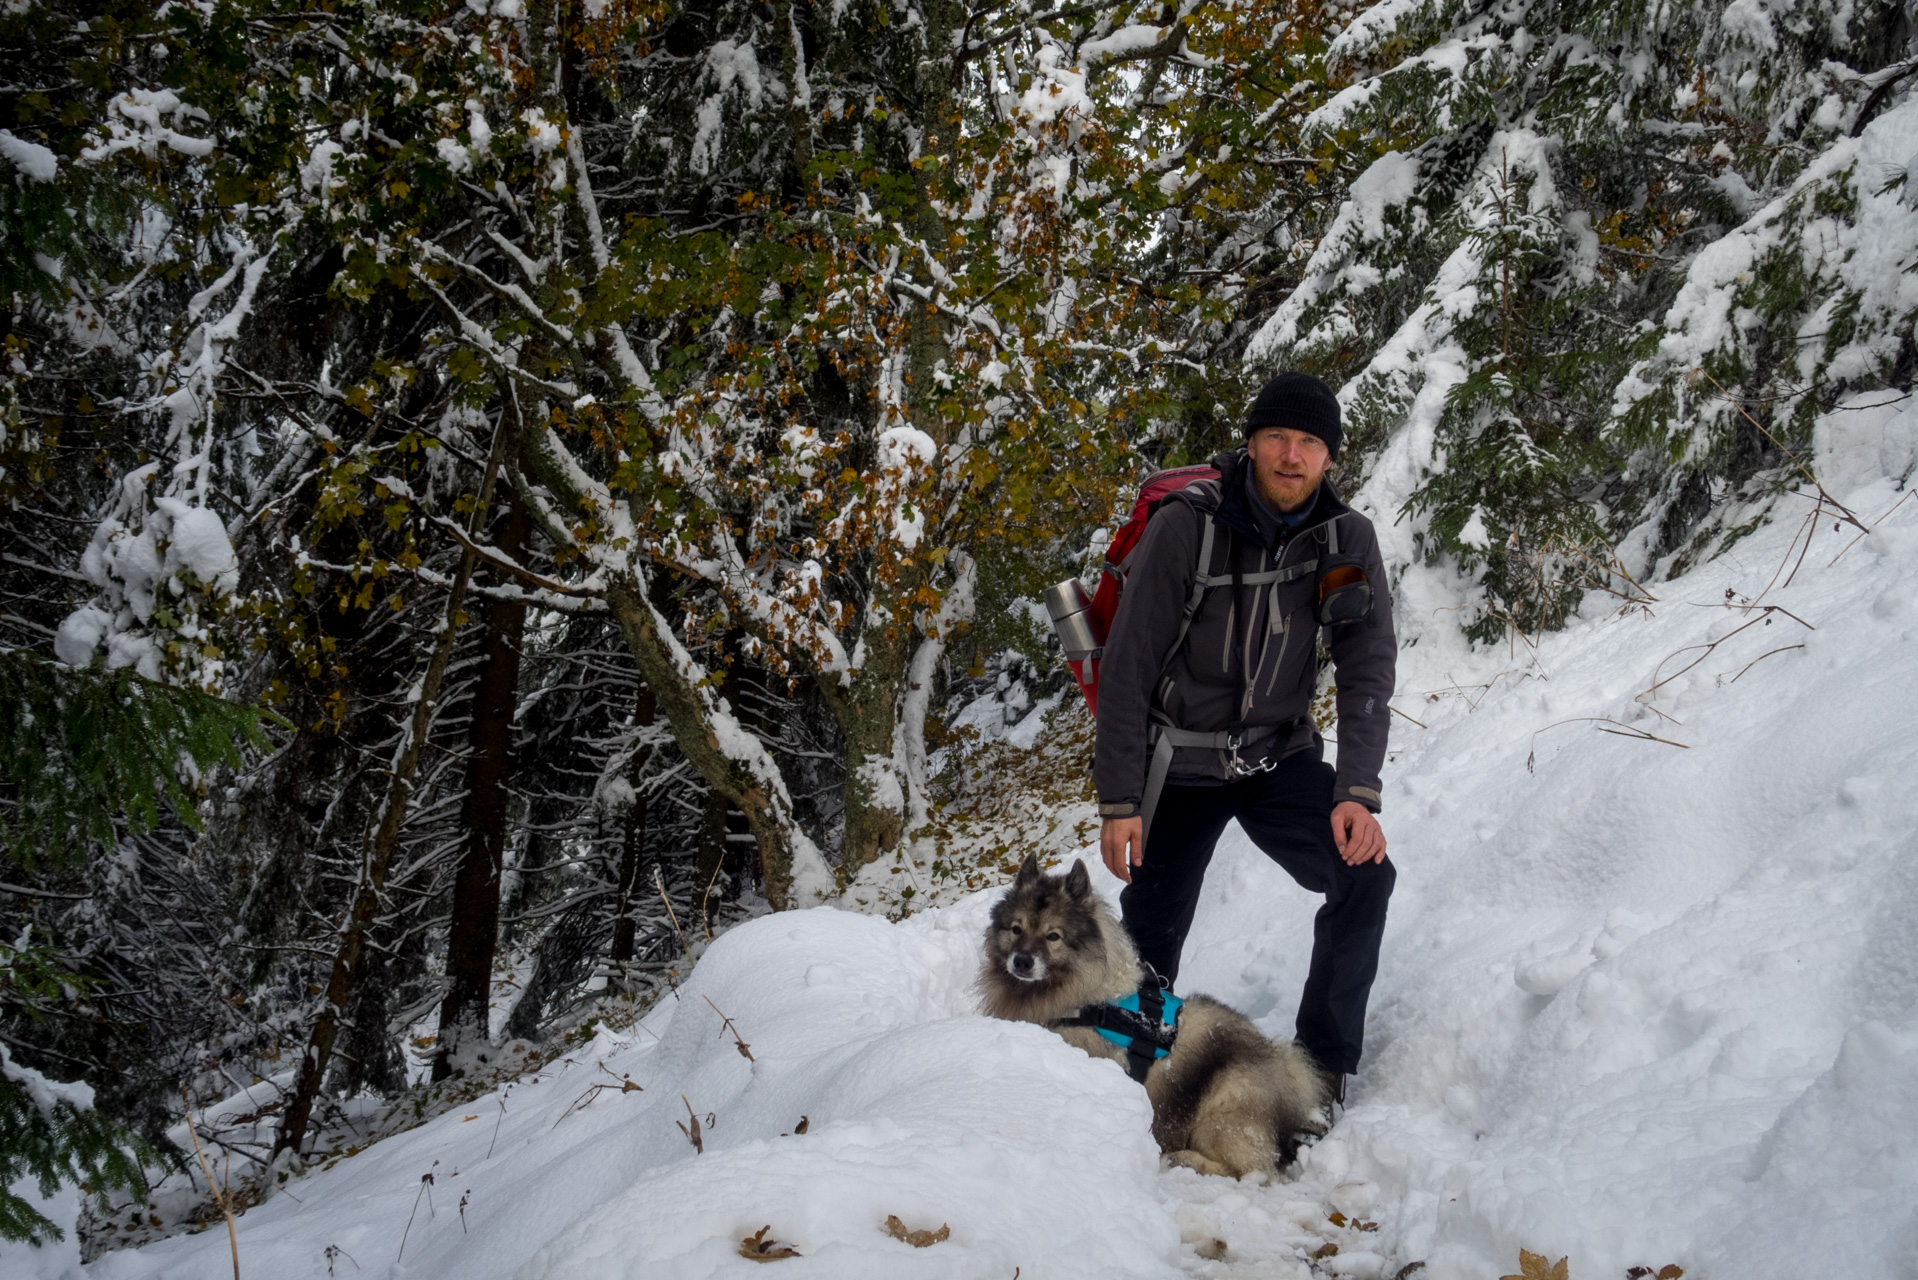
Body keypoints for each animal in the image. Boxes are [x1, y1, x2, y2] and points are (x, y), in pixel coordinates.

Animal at [982, 855, 1327, 1174]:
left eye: (1053, 936)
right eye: (1016, 929)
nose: (1021, 961)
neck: (1085, 999)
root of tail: (1289, 1073)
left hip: (1225, 1102)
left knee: (1252, 1171)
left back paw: (1183, 1159)